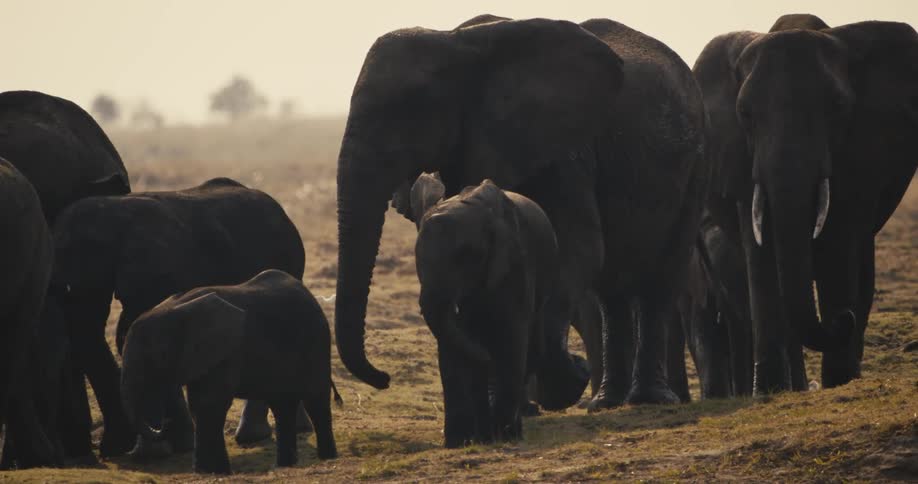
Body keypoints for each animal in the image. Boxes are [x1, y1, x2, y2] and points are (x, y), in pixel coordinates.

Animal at [49, 177, 307, 457]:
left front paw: (154, 453)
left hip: (285, 259)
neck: (113, 211)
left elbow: (137, 328)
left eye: (80, 253)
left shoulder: (154, 269)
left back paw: (263, 434)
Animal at [121, 270, 339, 474]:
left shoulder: (228, 351)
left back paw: (327, 458)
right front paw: (207, 471)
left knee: (315, 399)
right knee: (282, 405)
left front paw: (215, 471)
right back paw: (286, 465)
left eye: (159, 355)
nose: (164, 423)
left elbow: (210, 402)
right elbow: (199, 403)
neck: (176, 308)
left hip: (317, 341)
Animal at [334, 15, 707, 412]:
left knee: (659, 278)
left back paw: (647, 399)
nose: (384, 379)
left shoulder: (568, 148)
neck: (457, 43)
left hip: (695, 162)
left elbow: (580, 247)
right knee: (611, 289)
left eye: (410, 112)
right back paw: (606, 401)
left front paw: (563, 384)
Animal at [692, 16, 918, 393]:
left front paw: (838, 380)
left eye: (839, 108)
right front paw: (768, 391)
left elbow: (840, 242)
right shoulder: (742, 160)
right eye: (744, 114)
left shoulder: (860, 152)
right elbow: (760, 252)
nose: (843, 319)